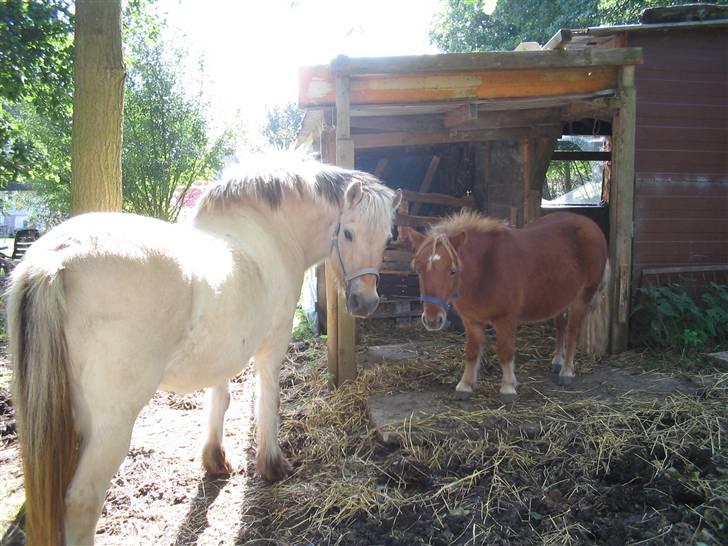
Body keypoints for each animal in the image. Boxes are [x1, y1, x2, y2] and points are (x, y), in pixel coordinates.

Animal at [7, 155, 404, 540]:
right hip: (110, 424)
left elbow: (220, 399)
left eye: (388, 238)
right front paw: (272, 464)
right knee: (82, 500)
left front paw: (215, 461)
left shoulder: (221, 354)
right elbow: (267, 400)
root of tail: (57, 259)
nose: (366, 302)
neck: (268, 234)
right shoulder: (273, 345)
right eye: (348, 233)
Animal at [400, 210, 612, 402]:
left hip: (582, 297)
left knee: (572, 331)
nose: (432, 320)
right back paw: (557, 361)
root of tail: (590, 224)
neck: (486, 268)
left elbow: (505, 352)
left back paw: (567, 371)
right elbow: (471, 352)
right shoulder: (471, 321)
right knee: (560, 326)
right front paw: (465, 385)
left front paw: (508, 387)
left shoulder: (505, 319)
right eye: (418, 270)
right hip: (560, 297)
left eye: (452, 270)